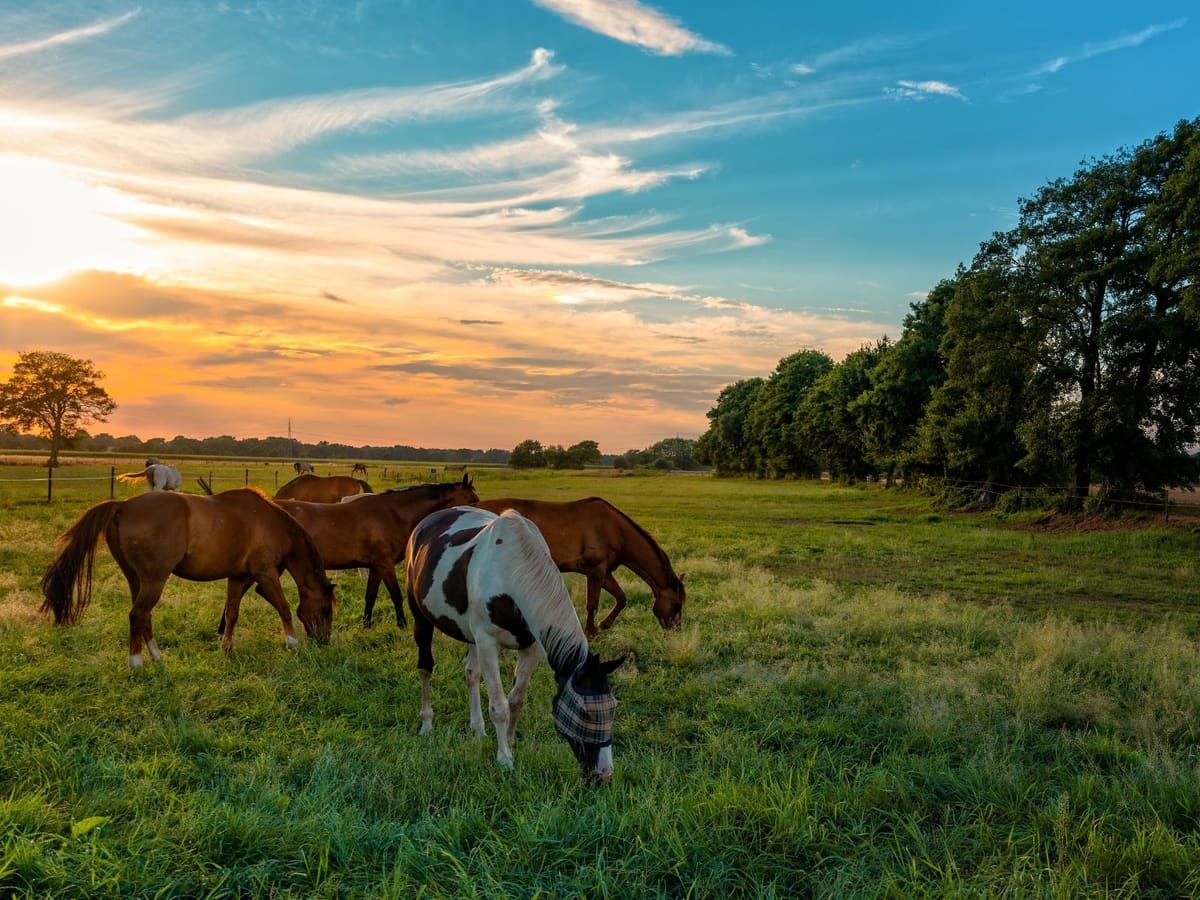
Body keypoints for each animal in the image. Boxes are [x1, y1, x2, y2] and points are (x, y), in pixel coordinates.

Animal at [39, 489, 336, 668]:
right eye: (325, 610)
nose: (324, 642)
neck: (269, 522)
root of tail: (123, 505)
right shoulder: (265, 573)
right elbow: (284, 607)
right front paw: (292, 644)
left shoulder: (238, 577)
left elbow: (231, 613)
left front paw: (226, 647)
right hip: (154, 580)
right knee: (138, 615)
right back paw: (136, 663)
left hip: (137, 581)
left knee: (143, 617)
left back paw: (157, 658)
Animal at [216, 474, 478, 633]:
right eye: (473, 499)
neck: (392, 514)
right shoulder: (385, 564)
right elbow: (395, 595)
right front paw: (402, 624)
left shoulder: (375, 566)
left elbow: (370, 596)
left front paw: (366, 625)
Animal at [406, 506, 625, 782]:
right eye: (585, 712)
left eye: (613, 708)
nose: (604, 774)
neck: (511, 571)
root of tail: (426, 522)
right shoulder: (488, 643)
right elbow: (499, 706)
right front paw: (504, 759)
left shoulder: (531, 647)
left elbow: (516, 700)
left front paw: (508, 743)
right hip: (421, 617)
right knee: (425, 667)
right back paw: (426, 724)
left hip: (471, 635)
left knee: (471, 673)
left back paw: (478, 730)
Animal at [474, 496, 685, 637]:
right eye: (677, 604)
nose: (677, 630)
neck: (614, 529)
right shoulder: (595, 571)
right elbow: (592, 604)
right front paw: (590, 633)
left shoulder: (605, 572)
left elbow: (621, 598)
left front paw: (603, 625)